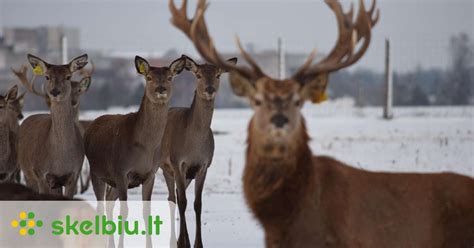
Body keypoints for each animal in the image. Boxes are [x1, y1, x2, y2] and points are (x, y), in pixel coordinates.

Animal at [84, 56, 185, 205]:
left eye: (170, 77)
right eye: (149, 77)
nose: (161, 89)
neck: (146, 147)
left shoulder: (151, 174)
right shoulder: (121, 171)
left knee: (109, 198)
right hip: (95, 172)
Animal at [158, 54, 236, 248]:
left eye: (218, 75)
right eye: (198, 75)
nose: (209, 89)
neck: (194, 146)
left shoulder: (203, 166)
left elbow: (197, 203)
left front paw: (198, 243)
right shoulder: (178, 162)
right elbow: (183, 201)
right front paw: (183, 243)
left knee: (176, 195)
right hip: (164, 167)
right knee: (172, 198)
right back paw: (174, 241)